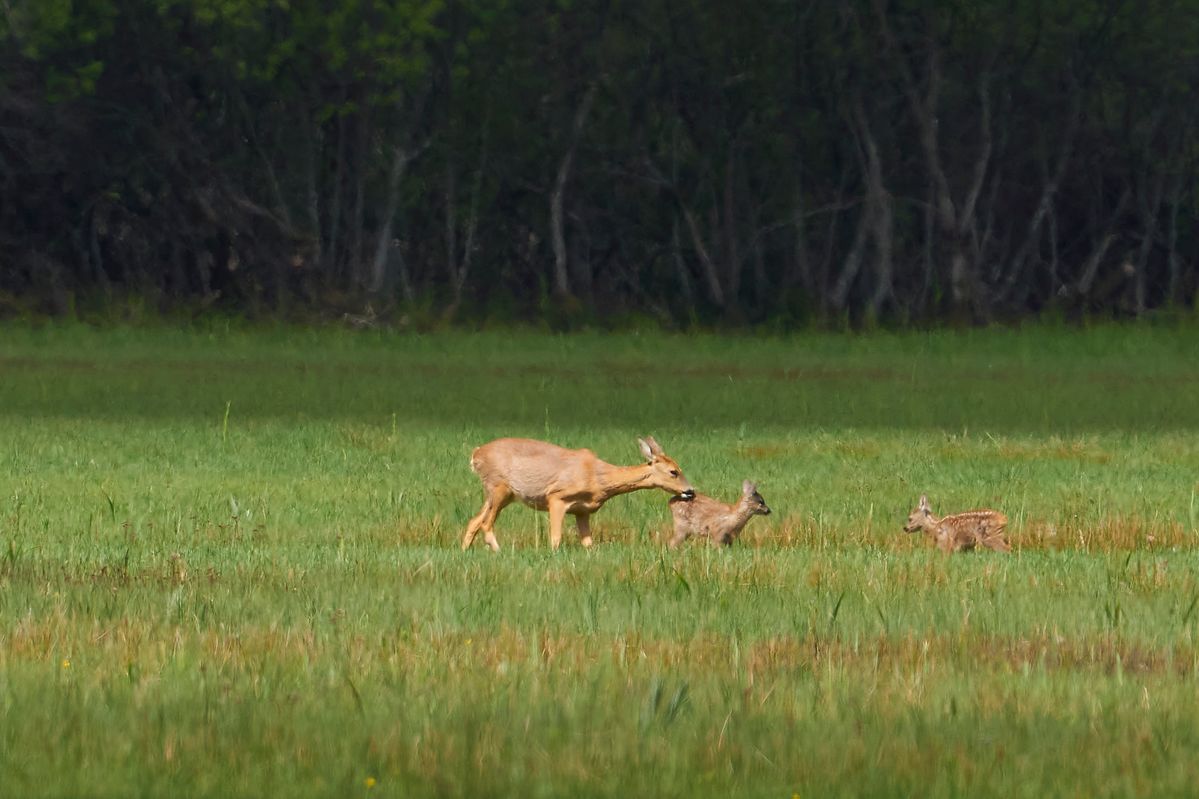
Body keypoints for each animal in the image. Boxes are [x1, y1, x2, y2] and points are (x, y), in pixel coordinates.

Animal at [462, 436, 700, 547]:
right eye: (674, 471)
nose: (691, 491)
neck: (598, 478)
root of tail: (476, 455)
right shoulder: (557, 497)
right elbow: (555, 538)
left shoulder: (583, 511)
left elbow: (588, 544)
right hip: (498, 486)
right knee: (486, 523)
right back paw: (498, 550)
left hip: (501, 494)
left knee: (474, 521)